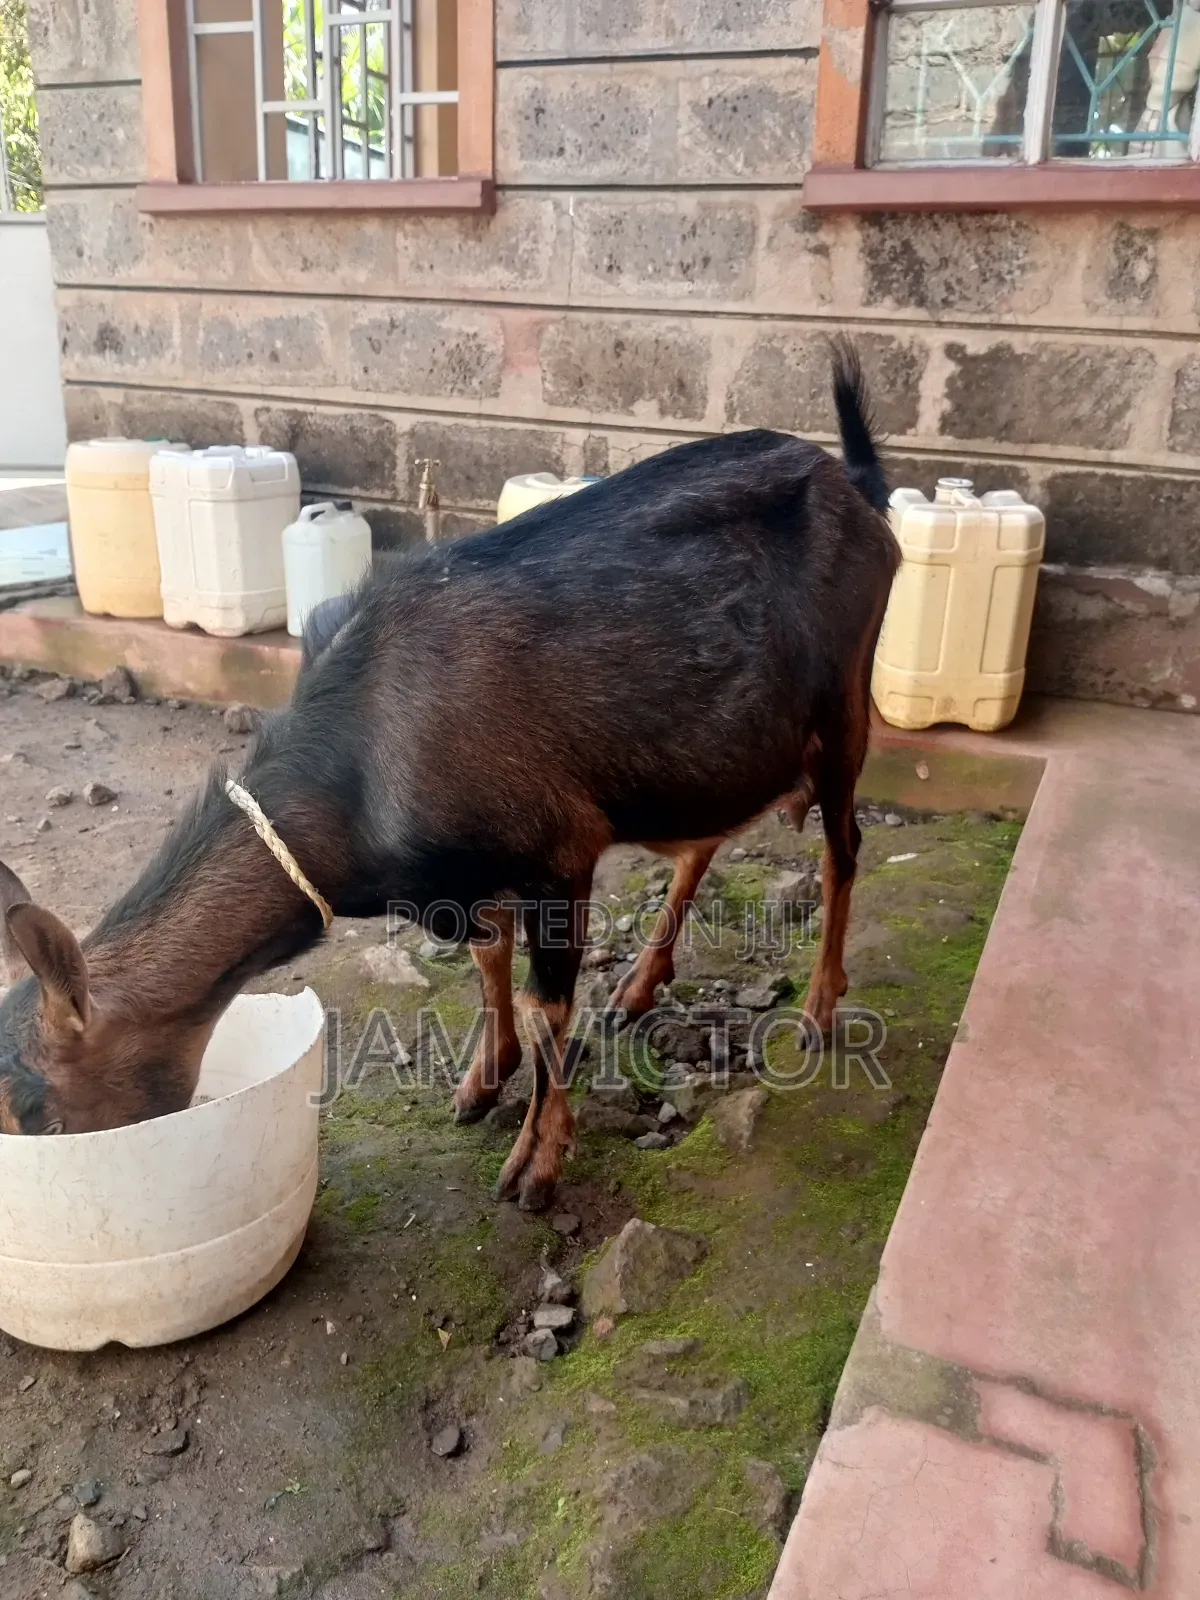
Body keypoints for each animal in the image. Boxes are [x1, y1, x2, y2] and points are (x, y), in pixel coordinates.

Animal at [0, 341, 900, 1211]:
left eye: (36, 1113)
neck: (361, 770)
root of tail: (854, 488)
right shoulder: (465, 876)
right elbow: (488, 959)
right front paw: (482, 1079)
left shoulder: (558, 850)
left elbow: (546, 1005)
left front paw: (537, 1164)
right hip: (702, 750)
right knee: (703, 839)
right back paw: (641, 987)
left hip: (844, 703)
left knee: (843, 848)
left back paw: (819, 1009)